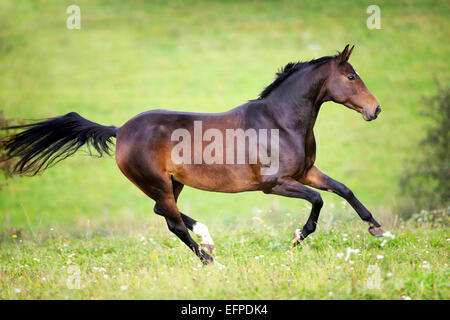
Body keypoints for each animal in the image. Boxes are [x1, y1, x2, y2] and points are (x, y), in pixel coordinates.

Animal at [2, 45, 384, 264]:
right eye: (351, 76)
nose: (376, 110)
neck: (280, 120)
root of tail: (120, 130)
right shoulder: (275, 184)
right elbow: (318, 200)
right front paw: (297, 236)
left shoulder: (306, 171)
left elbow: (343, 189)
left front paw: (377, 228)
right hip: (156, 182)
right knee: (171, 222)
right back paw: (210, 259)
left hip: (172, 183)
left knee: (163, 211)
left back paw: (208, 239)